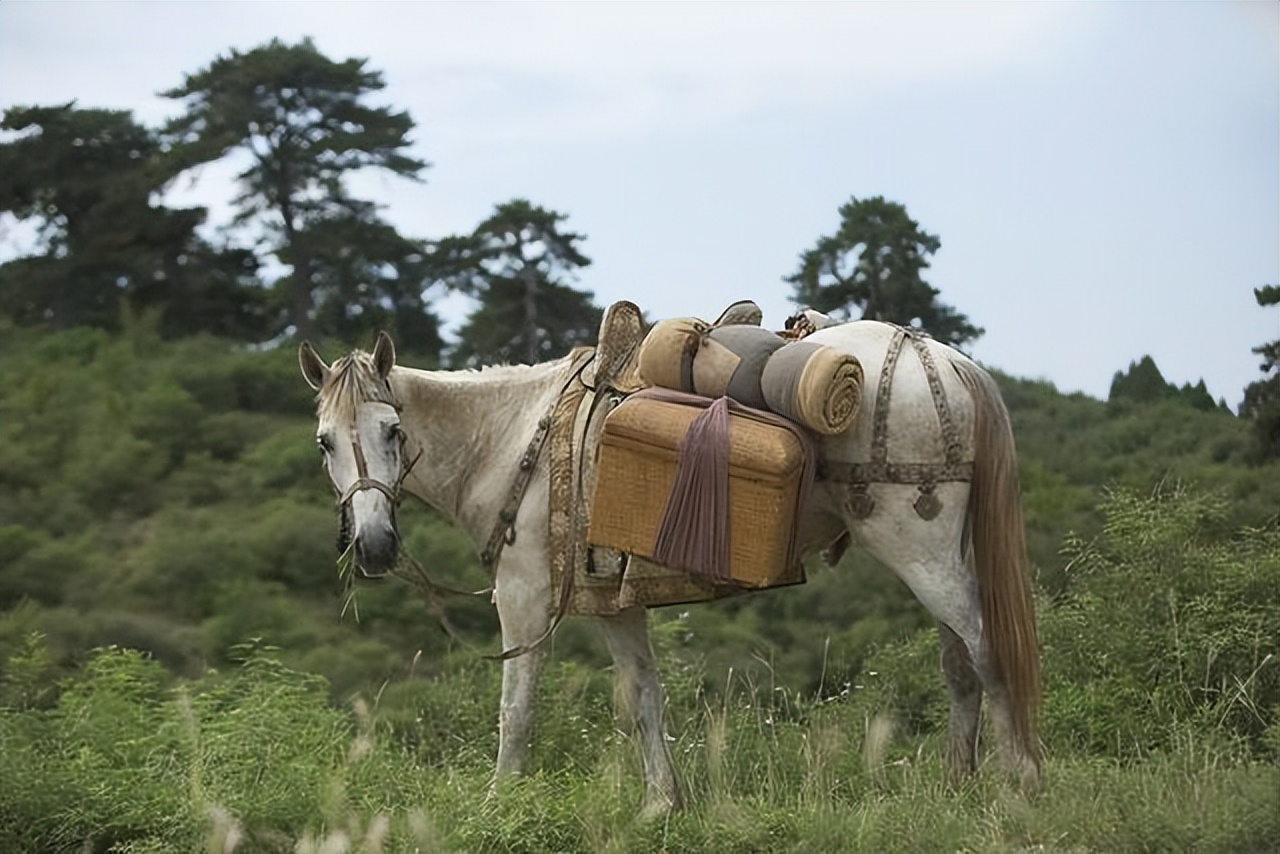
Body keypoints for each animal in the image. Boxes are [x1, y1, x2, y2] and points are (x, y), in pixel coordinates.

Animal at [299, 320, 1039, 814]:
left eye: (393, 431)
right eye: (325, 442)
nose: (374, 547)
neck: (510, 439)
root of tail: (943, 359)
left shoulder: (525, 598)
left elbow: (517, 708)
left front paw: (499, 801)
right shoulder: (611, 602)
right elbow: (643, 698)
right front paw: (662, 804)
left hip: (920, 552)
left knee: (987, 651)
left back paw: (1018, 783)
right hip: (936, 558)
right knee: (957, 663)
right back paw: (959, 785)